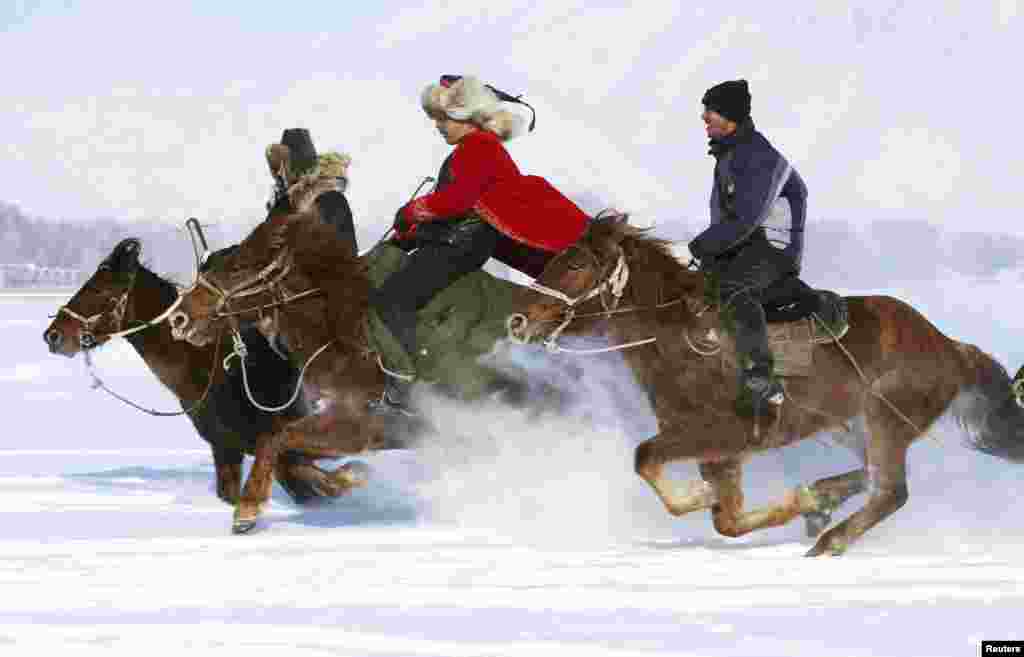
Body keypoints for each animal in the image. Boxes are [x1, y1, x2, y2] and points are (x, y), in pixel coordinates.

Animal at [505, 214, 1024, 552]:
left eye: (576, 265)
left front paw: (699, 495)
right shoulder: (720, 451)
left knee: (890, 490)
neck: (683, 337)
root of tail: (951, 347)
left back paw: (830, 541)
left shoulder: (722, 434)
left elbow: (647, 457)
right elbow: (727, 520)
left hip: (885, 420)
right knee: (869, 476)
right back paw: (821, 502)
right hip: (851, 425)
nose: (517, 321)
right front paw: (793, 501)